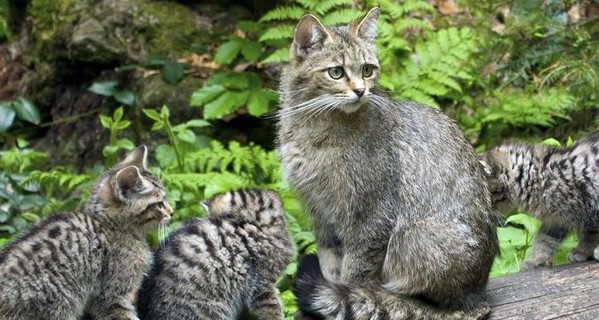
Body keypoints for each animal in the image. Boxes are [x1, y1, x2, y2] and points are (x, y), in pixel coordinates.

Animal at [278, 8, 500, 320]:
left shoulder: (371, 216)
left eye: (367, 70)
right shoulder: (320, 214)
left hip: (413, 235)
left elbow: (353, 276)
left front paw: (345, 299)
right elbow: (329, 267)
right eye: (336, 72)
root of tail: (475, 297)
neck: (313, 127)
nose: (361, 91)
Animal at [480, 135, 599, 270]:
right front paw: (536, 259)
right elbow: (544, 240)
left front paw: (583, 251)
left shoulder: (591, 206)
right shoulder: (556, 219)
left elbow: (590, 233)